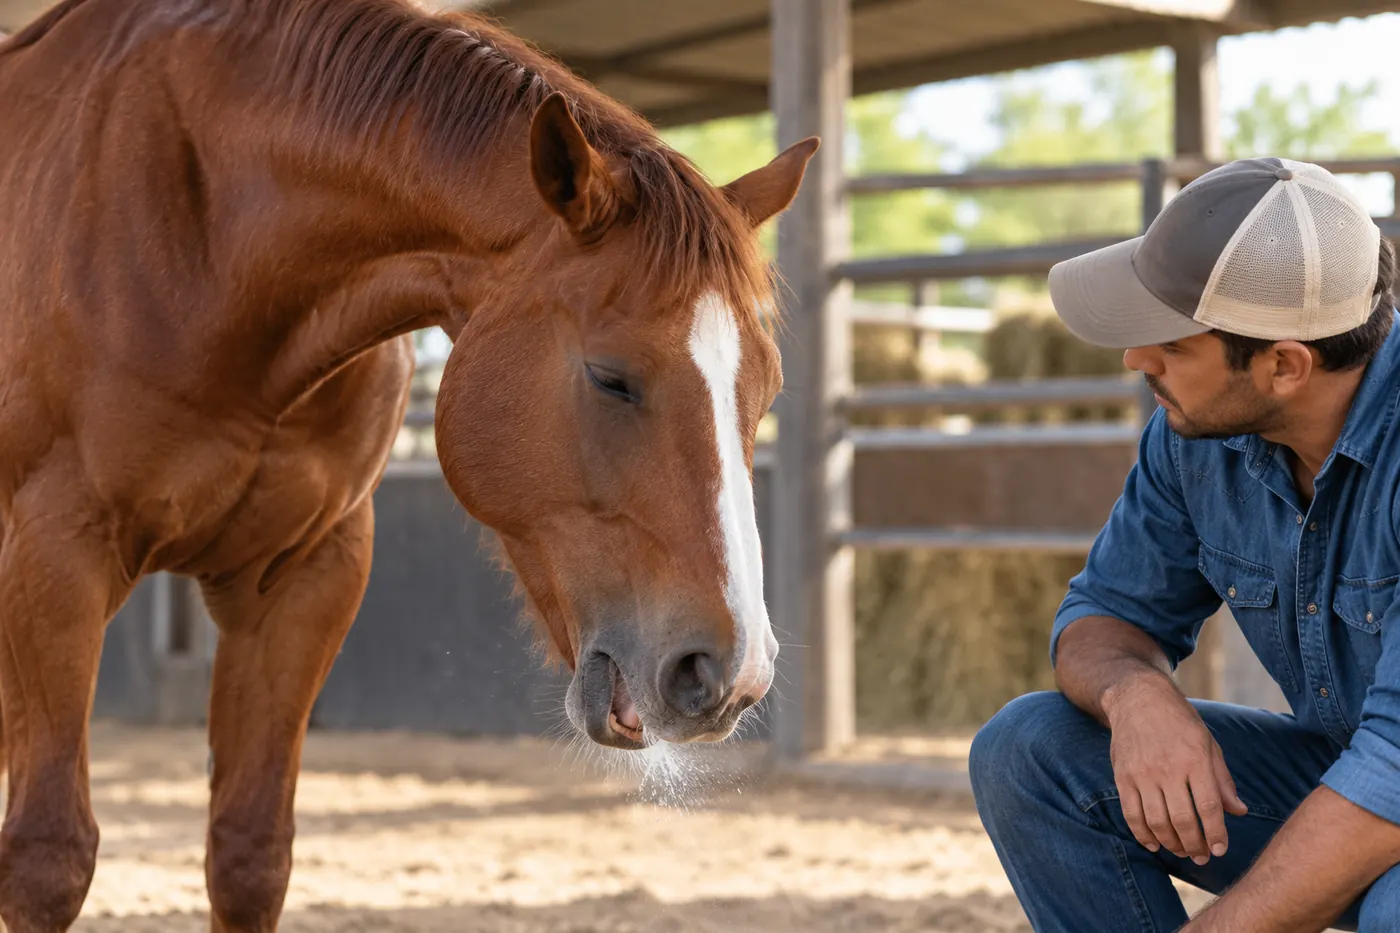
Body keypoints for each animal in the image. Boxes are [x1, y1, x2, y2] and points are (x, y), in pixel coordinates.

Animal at [0, 0, 817, 928]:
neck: (203, 234)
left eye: (765, 388)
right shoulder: (57, 560)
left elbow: (249, 852)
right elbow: (48, 858)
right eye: (611, 376)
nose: (730, 672)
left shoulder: (305, 578)